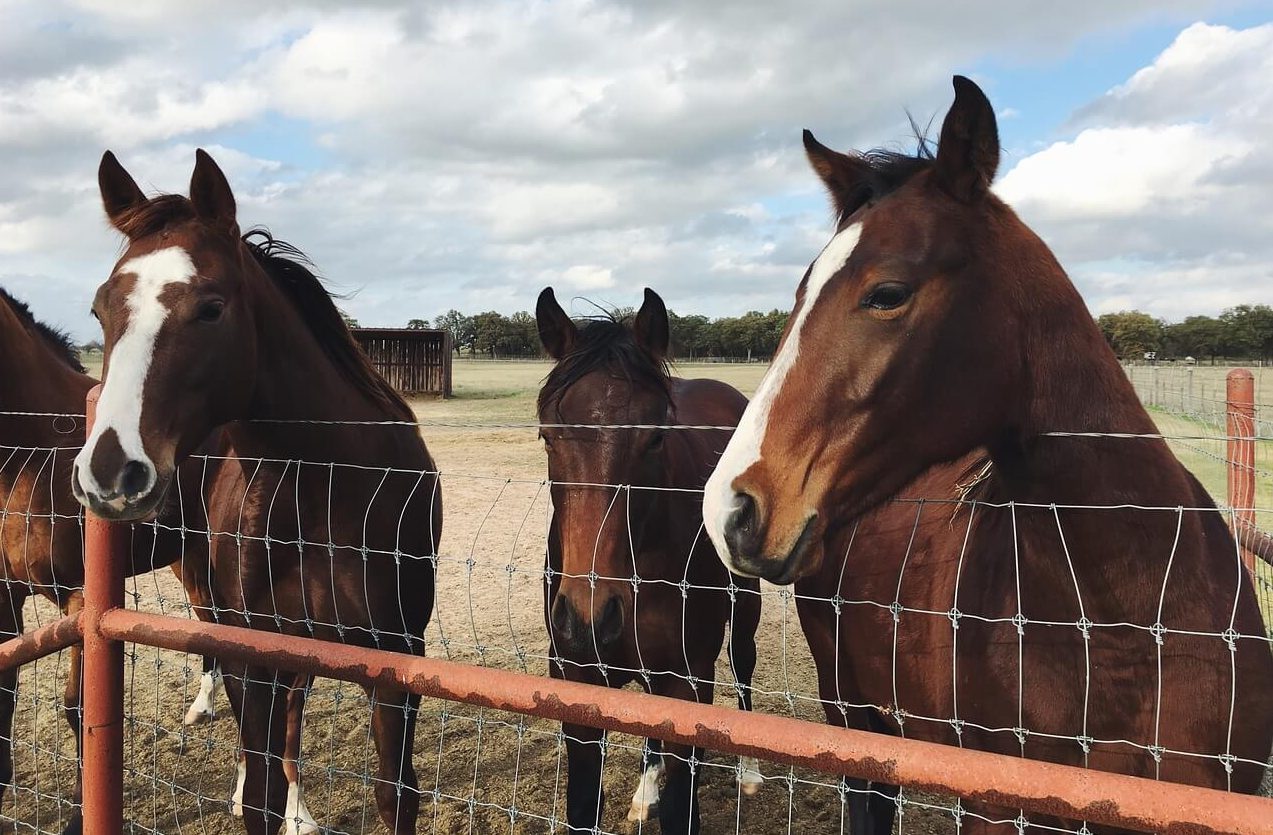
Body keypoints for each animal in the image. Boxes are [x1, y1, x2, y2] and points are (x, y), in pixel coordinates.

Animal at [73, 149, 442, 835]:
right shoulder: (256, 656)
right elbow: (259, 796)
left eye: (212, 307)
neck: (328, 489)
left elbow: (395, 795)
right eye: (100, 310)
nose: (111, 472)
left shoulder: (396, 664)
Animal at [535, 287, 764, 834]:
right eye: (548, 436)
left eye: (656, 436)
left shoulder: (688, 684)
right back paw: (645, 789)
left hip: (745, 607)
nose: (589, 616)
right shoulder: (578, 681)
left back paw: (748, 771)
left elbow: (684, 808)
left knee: (743, 663)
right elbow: (582, 806)